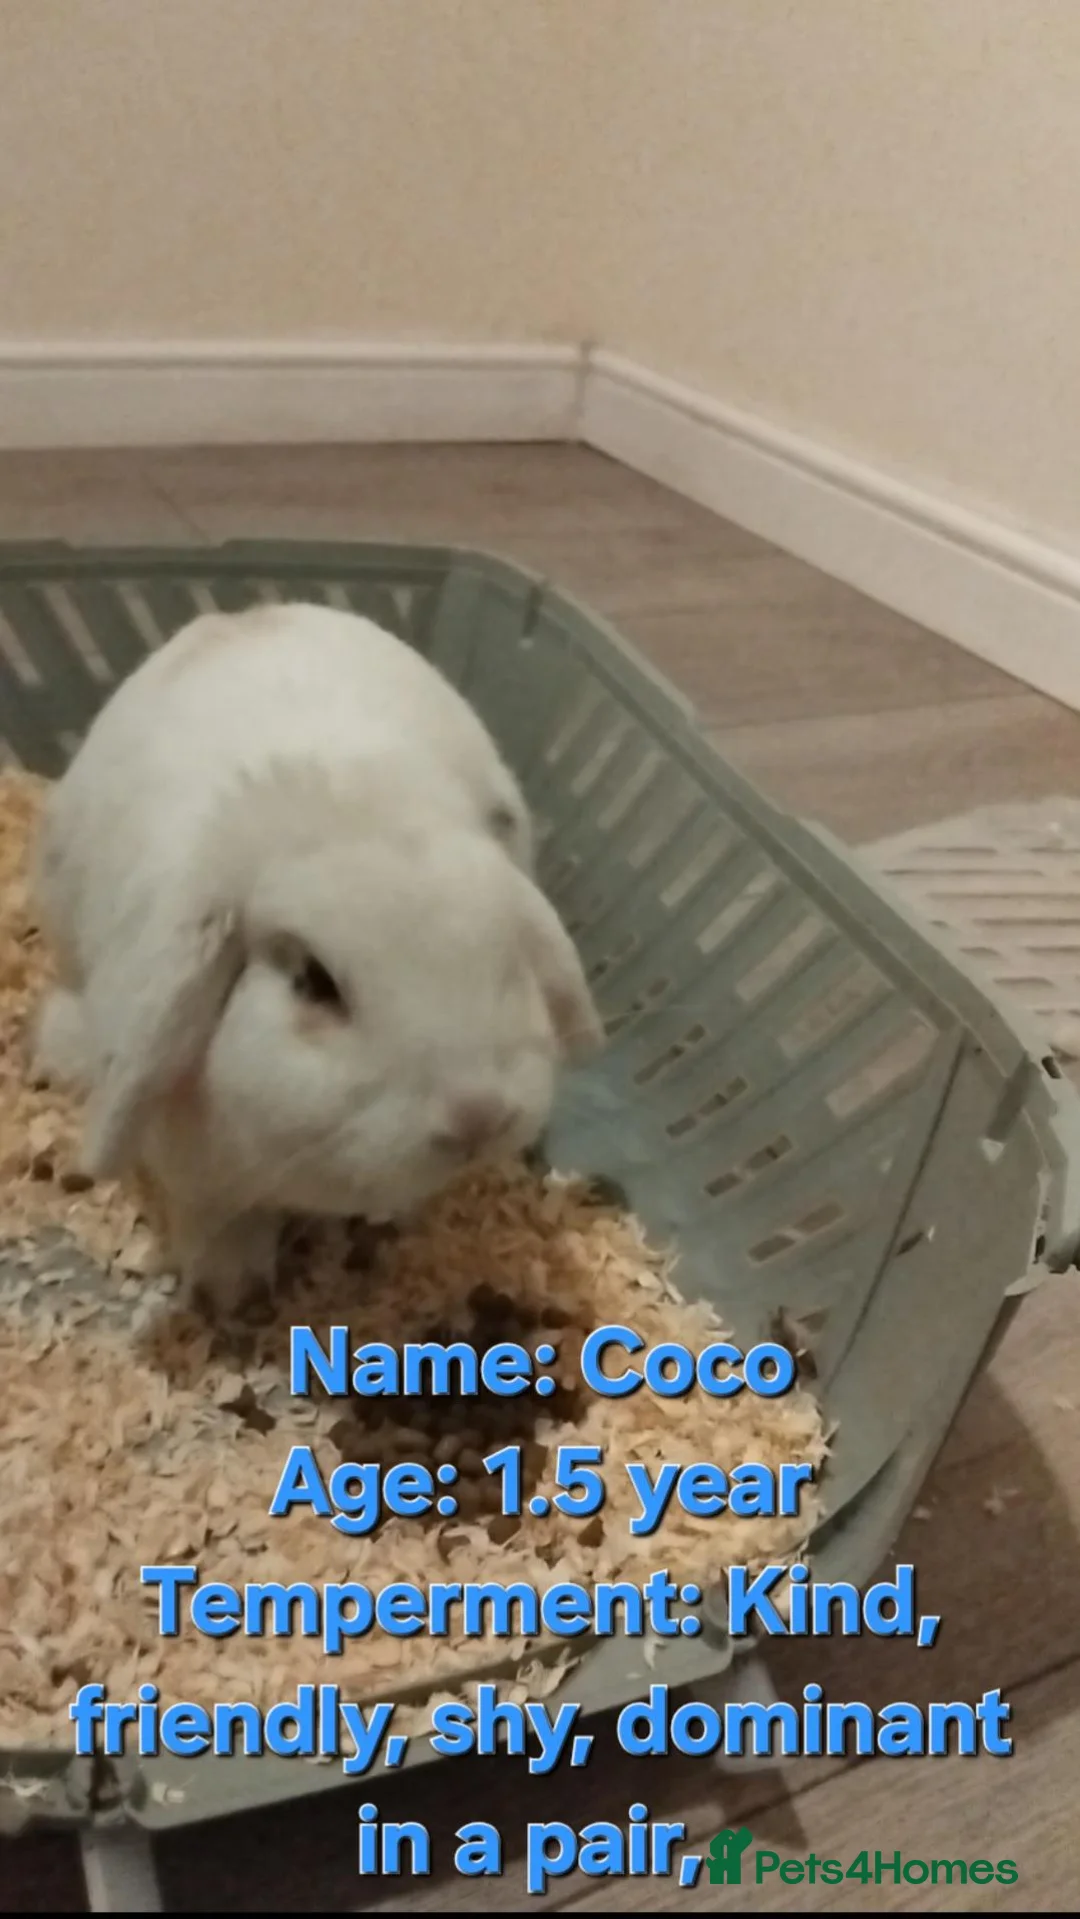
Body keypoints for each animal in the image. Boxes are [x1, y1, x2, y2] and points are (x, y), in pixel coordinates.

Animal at [31, 599, 603, 1316]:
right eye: (313, 983)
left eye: (507, 957)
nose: (477, 1118)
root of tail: (246, 614)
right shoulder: (199, 1180)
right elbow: (220, 1224)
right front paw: (232, 1295)